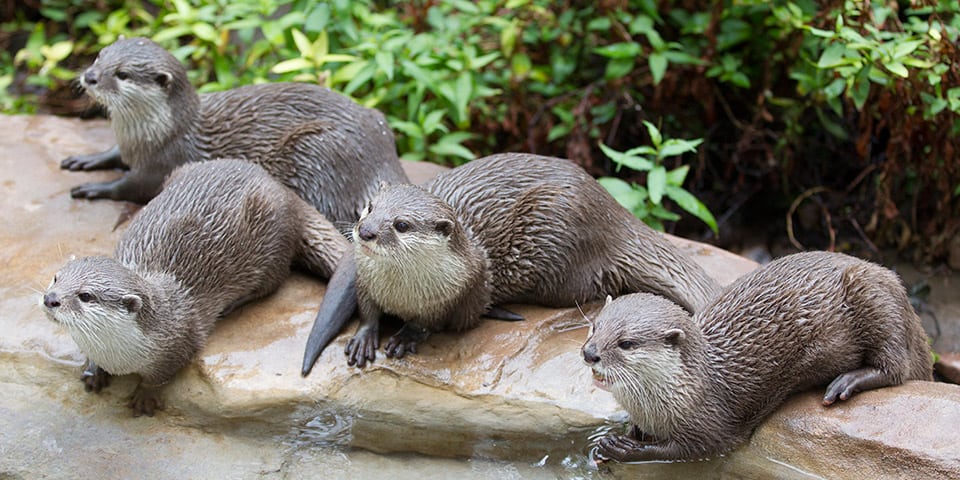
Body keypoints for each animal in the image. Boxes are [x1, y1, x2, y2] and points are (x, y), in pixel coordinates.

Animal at [42, 159, 348, 416]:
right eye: (56, 278)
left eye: (85, 296)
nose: (50, 299)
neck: (119, 355)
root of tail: (283, 190)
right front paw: (93, 372)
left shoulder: (178, 345)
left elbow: (159, 377)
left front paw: (144, 397)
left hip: (273, 241)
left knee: (273, 281)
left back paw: (235, 303)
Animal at [62, 37, 407, 225]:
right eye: (99, 56)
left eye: (122, 74)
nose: (90, 76)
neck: (149, 135)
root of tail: (384, 157)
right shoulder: (128, 146)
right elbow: (113, 153)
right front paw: (86, 159)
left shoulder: (161, 162)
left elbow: (129, 187)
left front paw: (94, 188)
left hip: (319, 149)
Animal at [301, 153, 722, 373]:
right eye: (370, 207)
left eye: (401, 224)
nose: (366, 231)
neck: (403, 291)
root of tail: (614, 215)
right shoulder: (367, 281)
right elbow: (368, 310)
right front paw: (364, 337)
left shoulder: (458, 291)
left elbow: (433, 323)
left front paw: (406, 336)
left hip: (557, 239)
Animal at [582, 251, 933, 462]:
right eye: (595, 326)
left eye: (626, 343)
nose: (589, 353)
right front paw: (623, 437)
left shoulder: (708, 422)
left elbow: (687, 448)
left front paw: (623, 448)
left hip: (873, 295)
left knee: (895, 366)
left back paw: (846, 382)